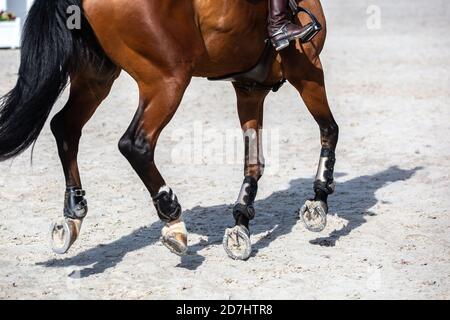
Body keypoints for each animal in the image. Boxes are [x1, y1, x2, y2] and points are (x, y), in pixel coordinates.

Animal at [0, 0, 338, 260]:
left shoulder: (250, 88)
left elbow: (253, 163)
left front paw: (241, 224)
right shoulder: (306, 69)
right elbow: (330, 130)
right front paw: (319, 202)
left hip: (97, 76)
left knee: (65, 128)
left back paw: (73, 214)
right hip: (168, 79)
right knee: (135, 144)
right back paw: (172, 217)